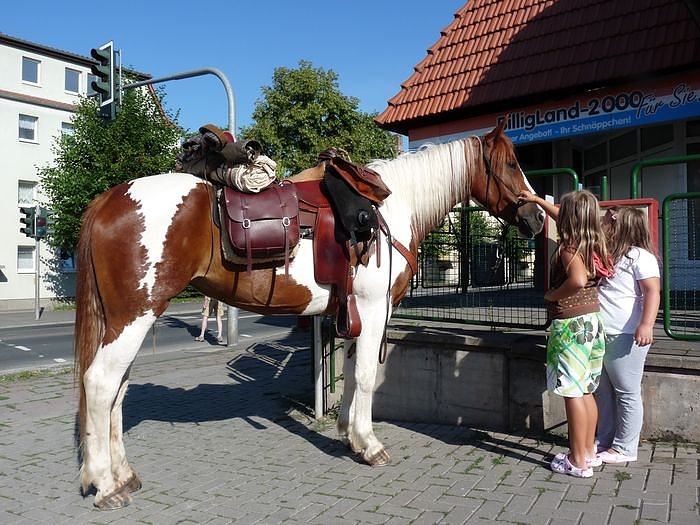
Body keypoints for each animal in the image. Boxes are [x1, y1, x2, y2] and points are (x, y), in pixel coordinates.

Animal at [74, 120, 545, 509]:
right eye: (510, 163)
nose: (538, 216)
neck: (388, 212)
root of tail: (108, 199)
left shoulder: (355, 315)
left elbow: (352, 373)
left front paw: (349, 435)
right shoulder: (373, 310)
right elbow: (368, 376)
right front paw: (370, 445)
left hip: (128, 321)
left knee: (117, 389)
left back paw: (123, 474)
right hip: (134, 317)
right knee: (100, 384)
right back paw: (106, 486)